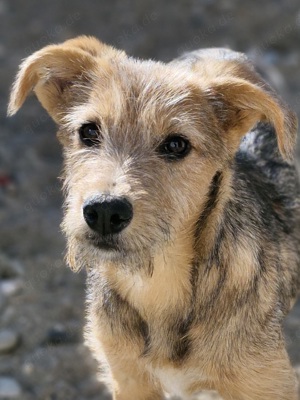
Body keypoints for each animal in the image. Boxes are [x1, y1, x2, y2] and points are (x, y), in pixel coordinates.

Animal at [6, 36, 300, 398]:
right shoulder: (128, 379)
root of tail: (216, 49)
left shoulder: (266, 383)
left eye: (176, 145)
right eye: (89, 131)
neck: (156, 282)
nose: (104, 211)